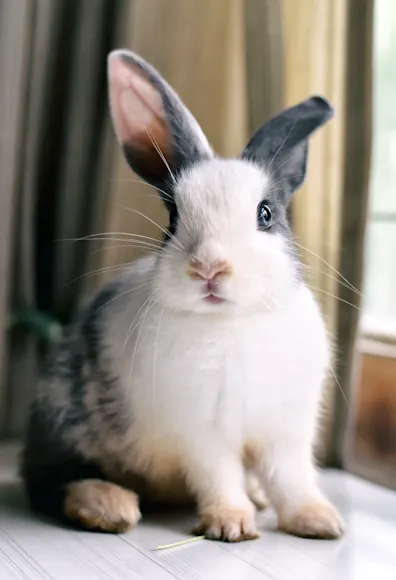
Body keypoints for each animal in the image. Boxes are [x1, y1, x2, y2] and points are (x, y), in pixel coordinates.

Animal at [20, 49, 344, 544]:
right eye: (172, 217)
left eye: (265, 214)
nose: (209, 267)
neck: (231, 321)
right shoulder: (202, 433)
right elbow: (220, 477)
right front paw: (231, 524)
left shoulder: (285, 432)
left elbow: (291, 478)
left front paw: (320, 522)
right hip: (63, 415)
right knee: (50, 480)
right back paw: (109, 505)